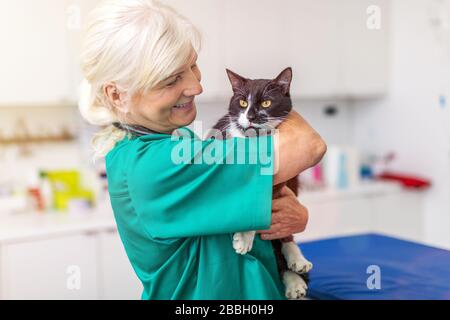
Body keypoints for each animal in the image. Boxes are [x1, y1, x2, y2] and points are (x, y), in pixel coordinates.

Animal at [208, 67, 312, 300]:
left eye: (266, 103)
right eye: (242, 102)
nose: (251, 116)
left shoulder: (281, 178)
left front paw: (244, 238)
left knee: (284, 238)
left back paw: (297, 265)